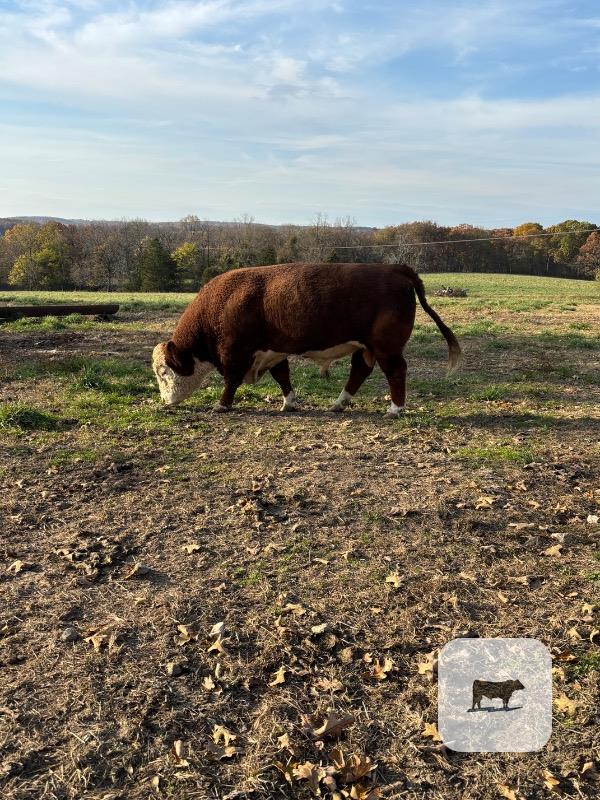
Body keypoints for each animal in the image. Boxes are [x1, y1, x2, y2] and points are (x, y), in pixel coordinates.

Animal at [152, 262, 461, 417]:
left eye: (164, 371)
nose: (165, 401)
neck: (222, 303)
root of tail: (395, 268)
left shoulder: (235, 354)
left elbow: (231, 381)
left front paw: (222, 405)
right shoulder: (273, 351)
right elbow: (282, 376)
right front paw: (289, 403)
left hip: (387, 348)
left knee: (396, 371)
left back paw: (394, 409)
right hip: (366, 347)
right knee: (360, 370)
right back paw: (339, 404)